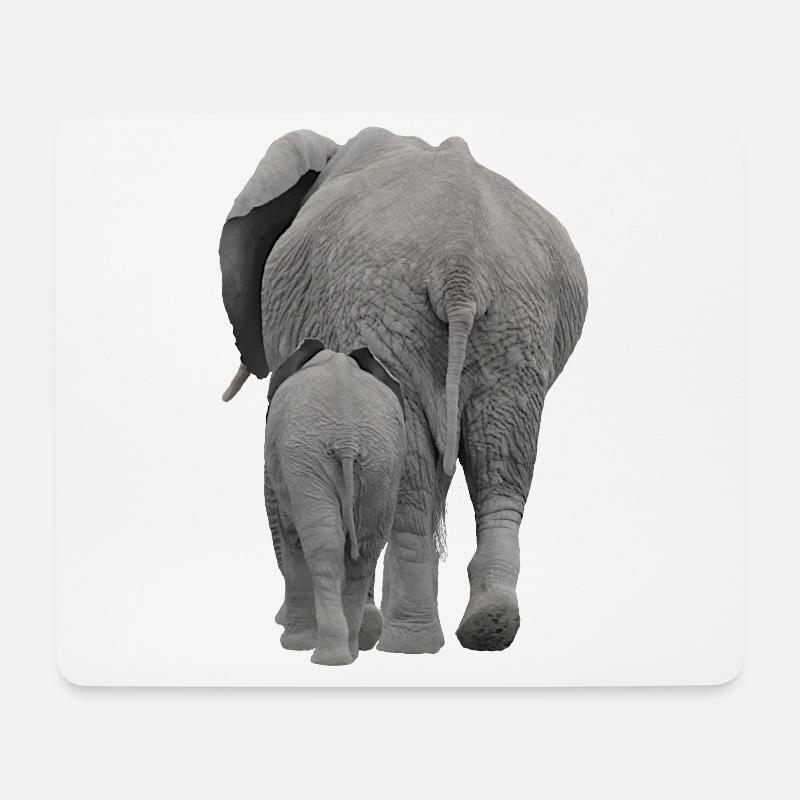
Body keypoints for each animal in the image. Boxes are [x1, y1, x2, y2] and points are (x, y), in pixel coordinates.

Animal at [263, 339, 406, 665]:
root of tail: (347, 439)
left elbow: (291, 537)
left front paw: (294, 645)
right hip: (382, 462)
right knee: (364, 551)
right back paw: (349, 652)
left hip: (307, 459)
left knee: (322, 546)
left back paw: (326, 656)